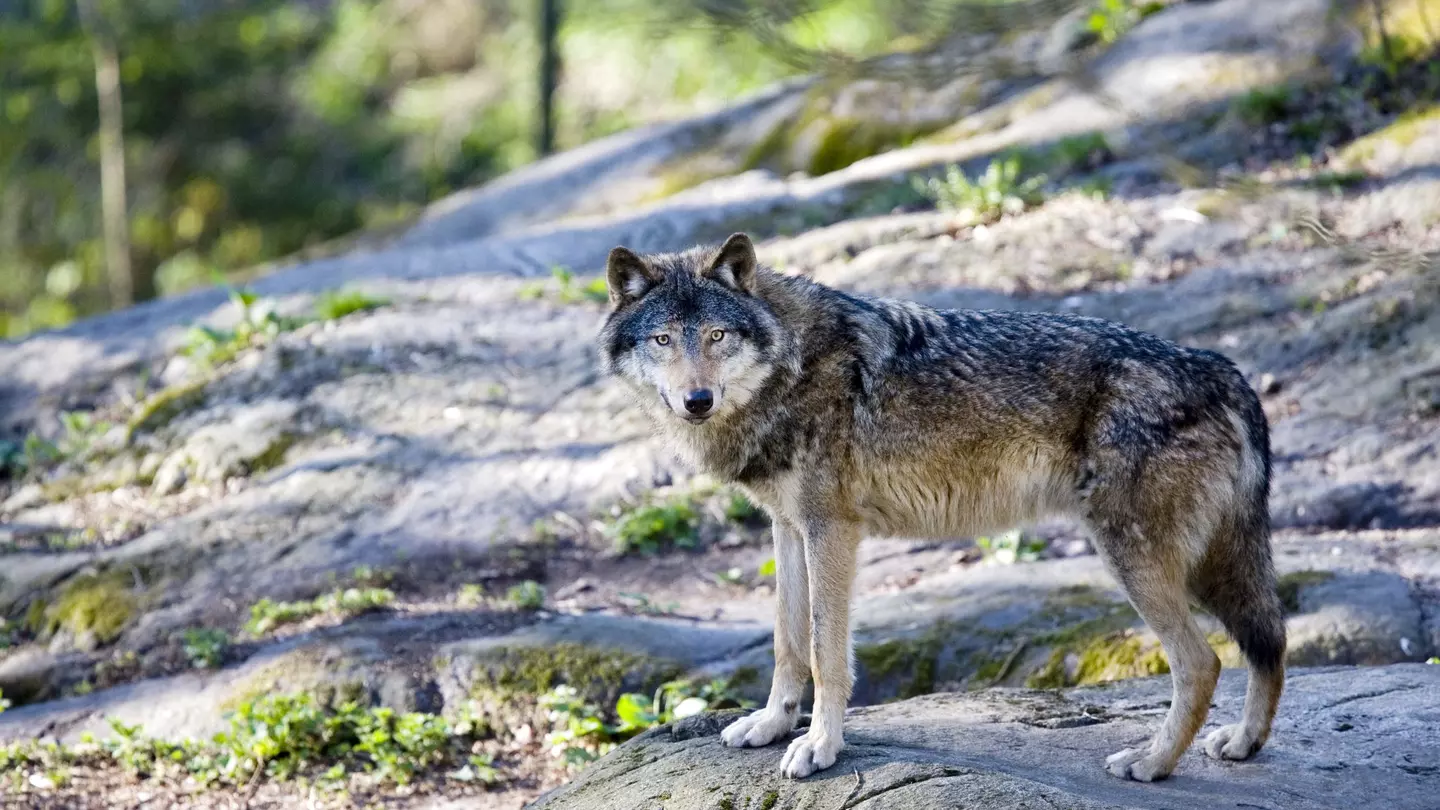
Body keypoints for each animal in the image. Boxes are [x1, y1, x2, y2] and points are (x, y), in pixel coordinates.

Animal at [598, 232, 1285, 782]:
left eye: (717, 335)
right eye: (663, 339)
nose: (697, 400)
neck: (790, 365)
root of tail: (1225, 371)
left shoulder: (831, 530)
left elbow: (824, 652)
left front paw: (819, 747)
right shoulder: (788, 528)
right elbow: (786, 644)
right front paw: (770, 726)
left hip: (1136, 561)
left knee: (1203, 663)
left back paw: (1151, 762)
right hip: (1205, 565)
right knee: (1268, 641)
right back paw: (1243, 743)